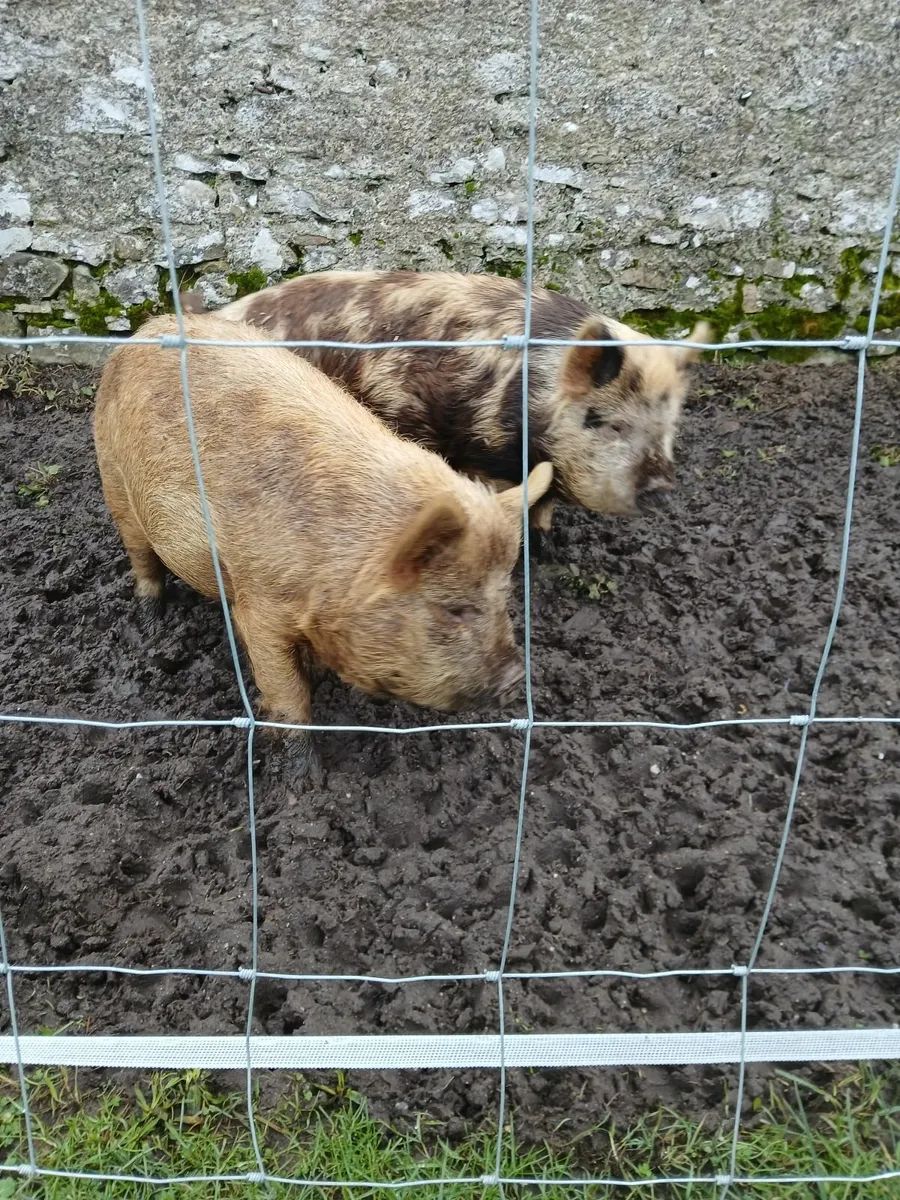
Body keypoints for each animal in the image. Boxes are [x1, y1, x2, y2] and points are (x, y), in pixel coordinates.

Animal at [92, 313, 553, 782]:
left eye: (504, 596)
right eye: (454, 608)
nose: (517, 676)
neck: (339, 563)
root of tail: (147, 329)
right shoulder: (257, 603)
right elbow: (286, 690)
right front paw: (306, 779)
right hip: (114, 479)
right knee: (141, 557)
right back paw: (152, 621)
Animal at [212, 271, 713, 558]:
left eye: (669, 426)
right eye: (608, 422)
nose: (661, 486)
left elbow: (543, 504)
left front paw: (550, 551)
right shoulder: (478, 449)